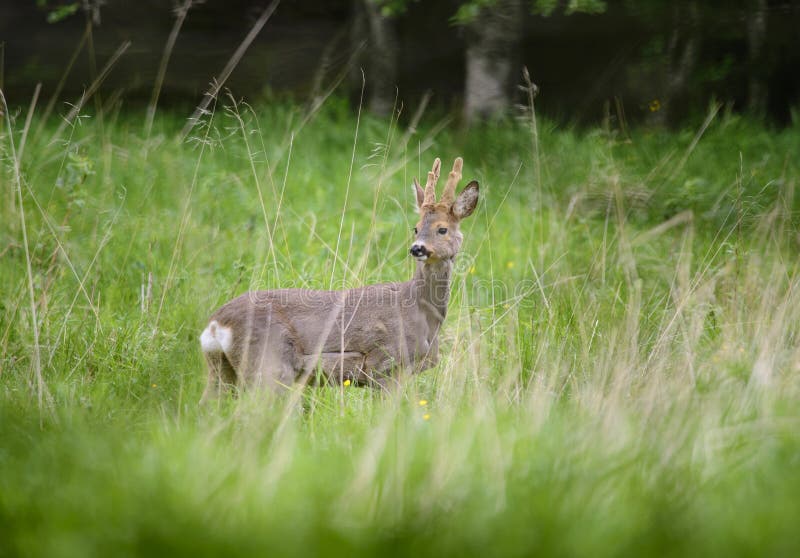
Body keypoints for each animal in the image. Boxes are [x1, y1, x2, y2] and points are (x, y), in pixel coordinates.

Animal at [198, 157, 479, 402]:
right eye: (416, 227)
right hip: (268, 364)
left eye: (442, 229)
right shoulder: (384, 363)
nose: (417, 248)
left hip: (222, 369)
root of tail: (215, 326)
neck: (420, 310)